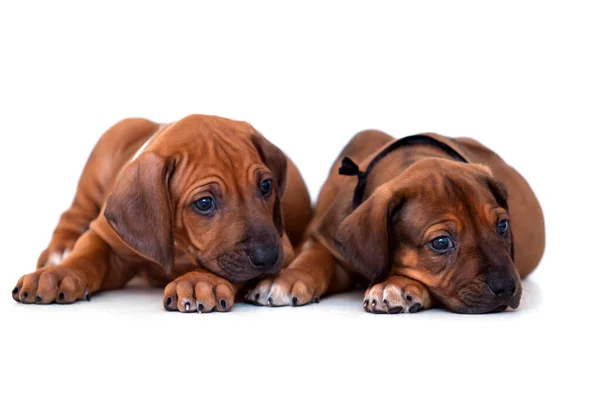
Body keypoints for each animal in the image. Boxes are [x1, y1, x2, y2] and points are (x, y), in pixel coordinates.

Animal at [11, 114, 312, 310]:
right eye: (204, 203)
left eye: (266, 186)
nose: (268, 257)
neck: (180, 245)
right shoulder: (107, 239)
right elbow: (86, 254)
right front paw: (59, 273)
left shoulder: (284, 244)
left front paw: (199, 281)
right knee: (72, 215)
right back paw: (58, 253)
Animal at [248, 130, 544, 312]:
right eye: (441, 242)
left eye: (502, 226)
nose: (506, 287)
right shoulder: (328, 239)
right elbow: (314, 257)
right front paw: (287, 278)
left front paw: (398, 286)